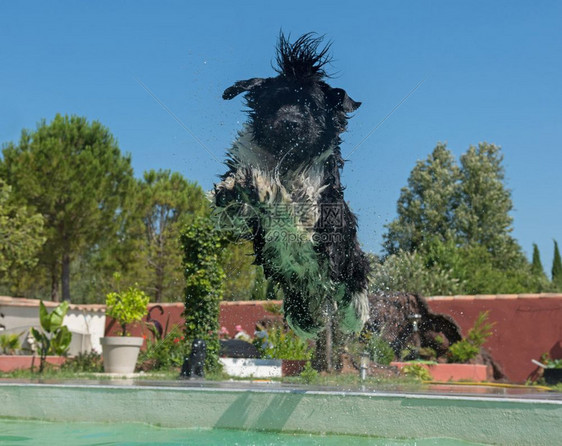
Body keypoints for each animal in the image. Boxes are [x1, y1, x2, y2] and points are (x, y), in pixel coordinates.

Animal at [213, 33, 368, 336]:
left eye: (311, 107)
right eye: (274, 102)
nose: (290, 122)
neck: (286, 163)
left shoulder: (315, 210)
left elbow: (286, 202)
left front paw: (261, 188)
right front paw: (235, 191)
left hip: (346, 261)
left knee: (353, 287)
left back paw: (354, 313)